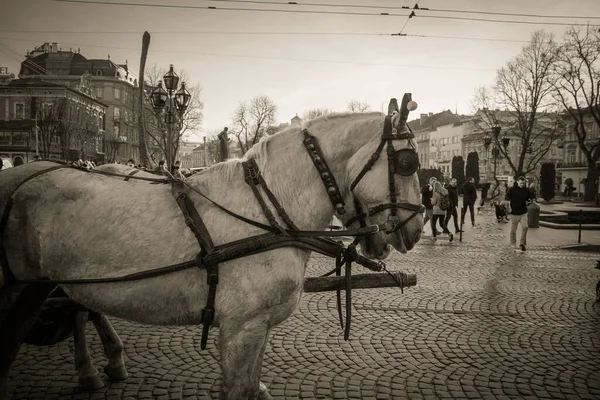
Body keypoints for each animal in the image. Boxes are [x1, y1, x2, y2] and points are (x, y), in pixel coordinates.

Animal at [0, 104, 422, 400]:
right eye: (406, 162)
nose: (417, 229)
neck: (268, 213)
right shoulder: (242, 327)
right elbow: (241, 389)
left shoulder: (255, 329)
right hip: (21, 292)